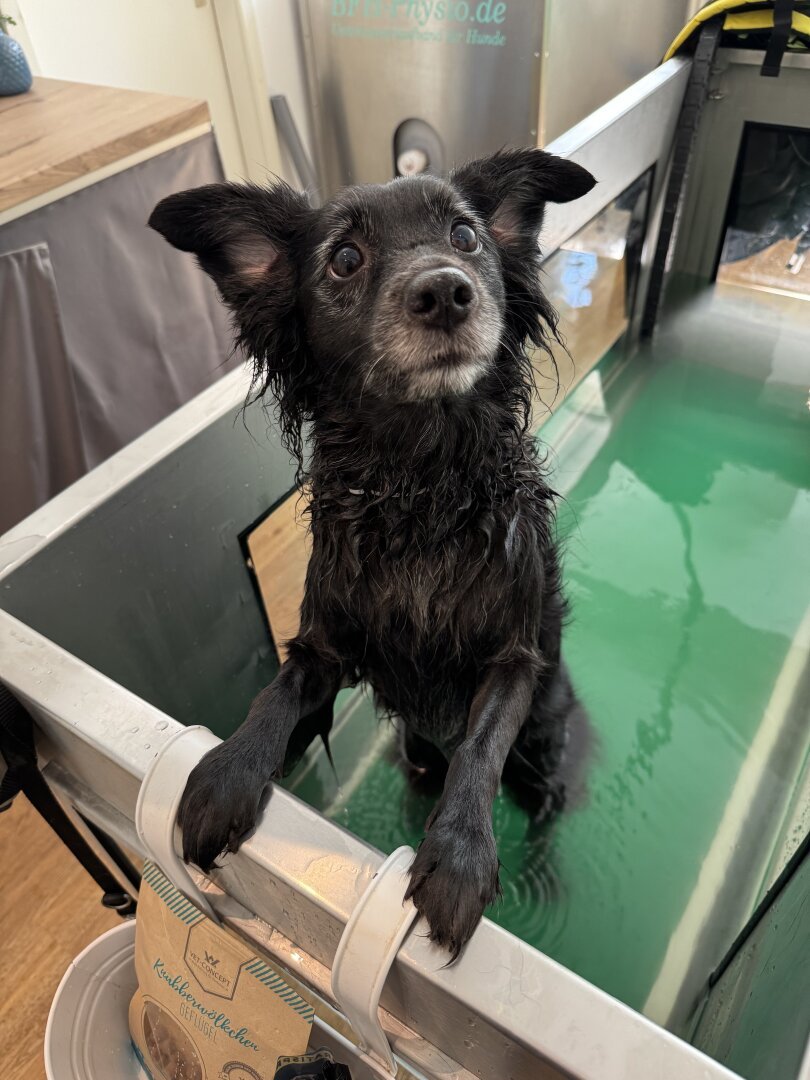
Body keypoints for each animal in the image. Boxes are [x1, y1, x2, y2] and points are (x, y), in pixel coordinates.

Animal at [149, 147, 595, 958]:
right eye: (345, 259)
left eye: (465, 236)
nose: (445, 291)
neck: (421, 483)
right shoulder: (326, 646)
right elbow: (277, 693)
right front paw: (227, 772)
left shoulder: (513, 660)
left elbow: (480, 745)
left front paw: (459, 856)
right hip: (417, 756)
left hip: (545, 742)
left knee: (543, 807)